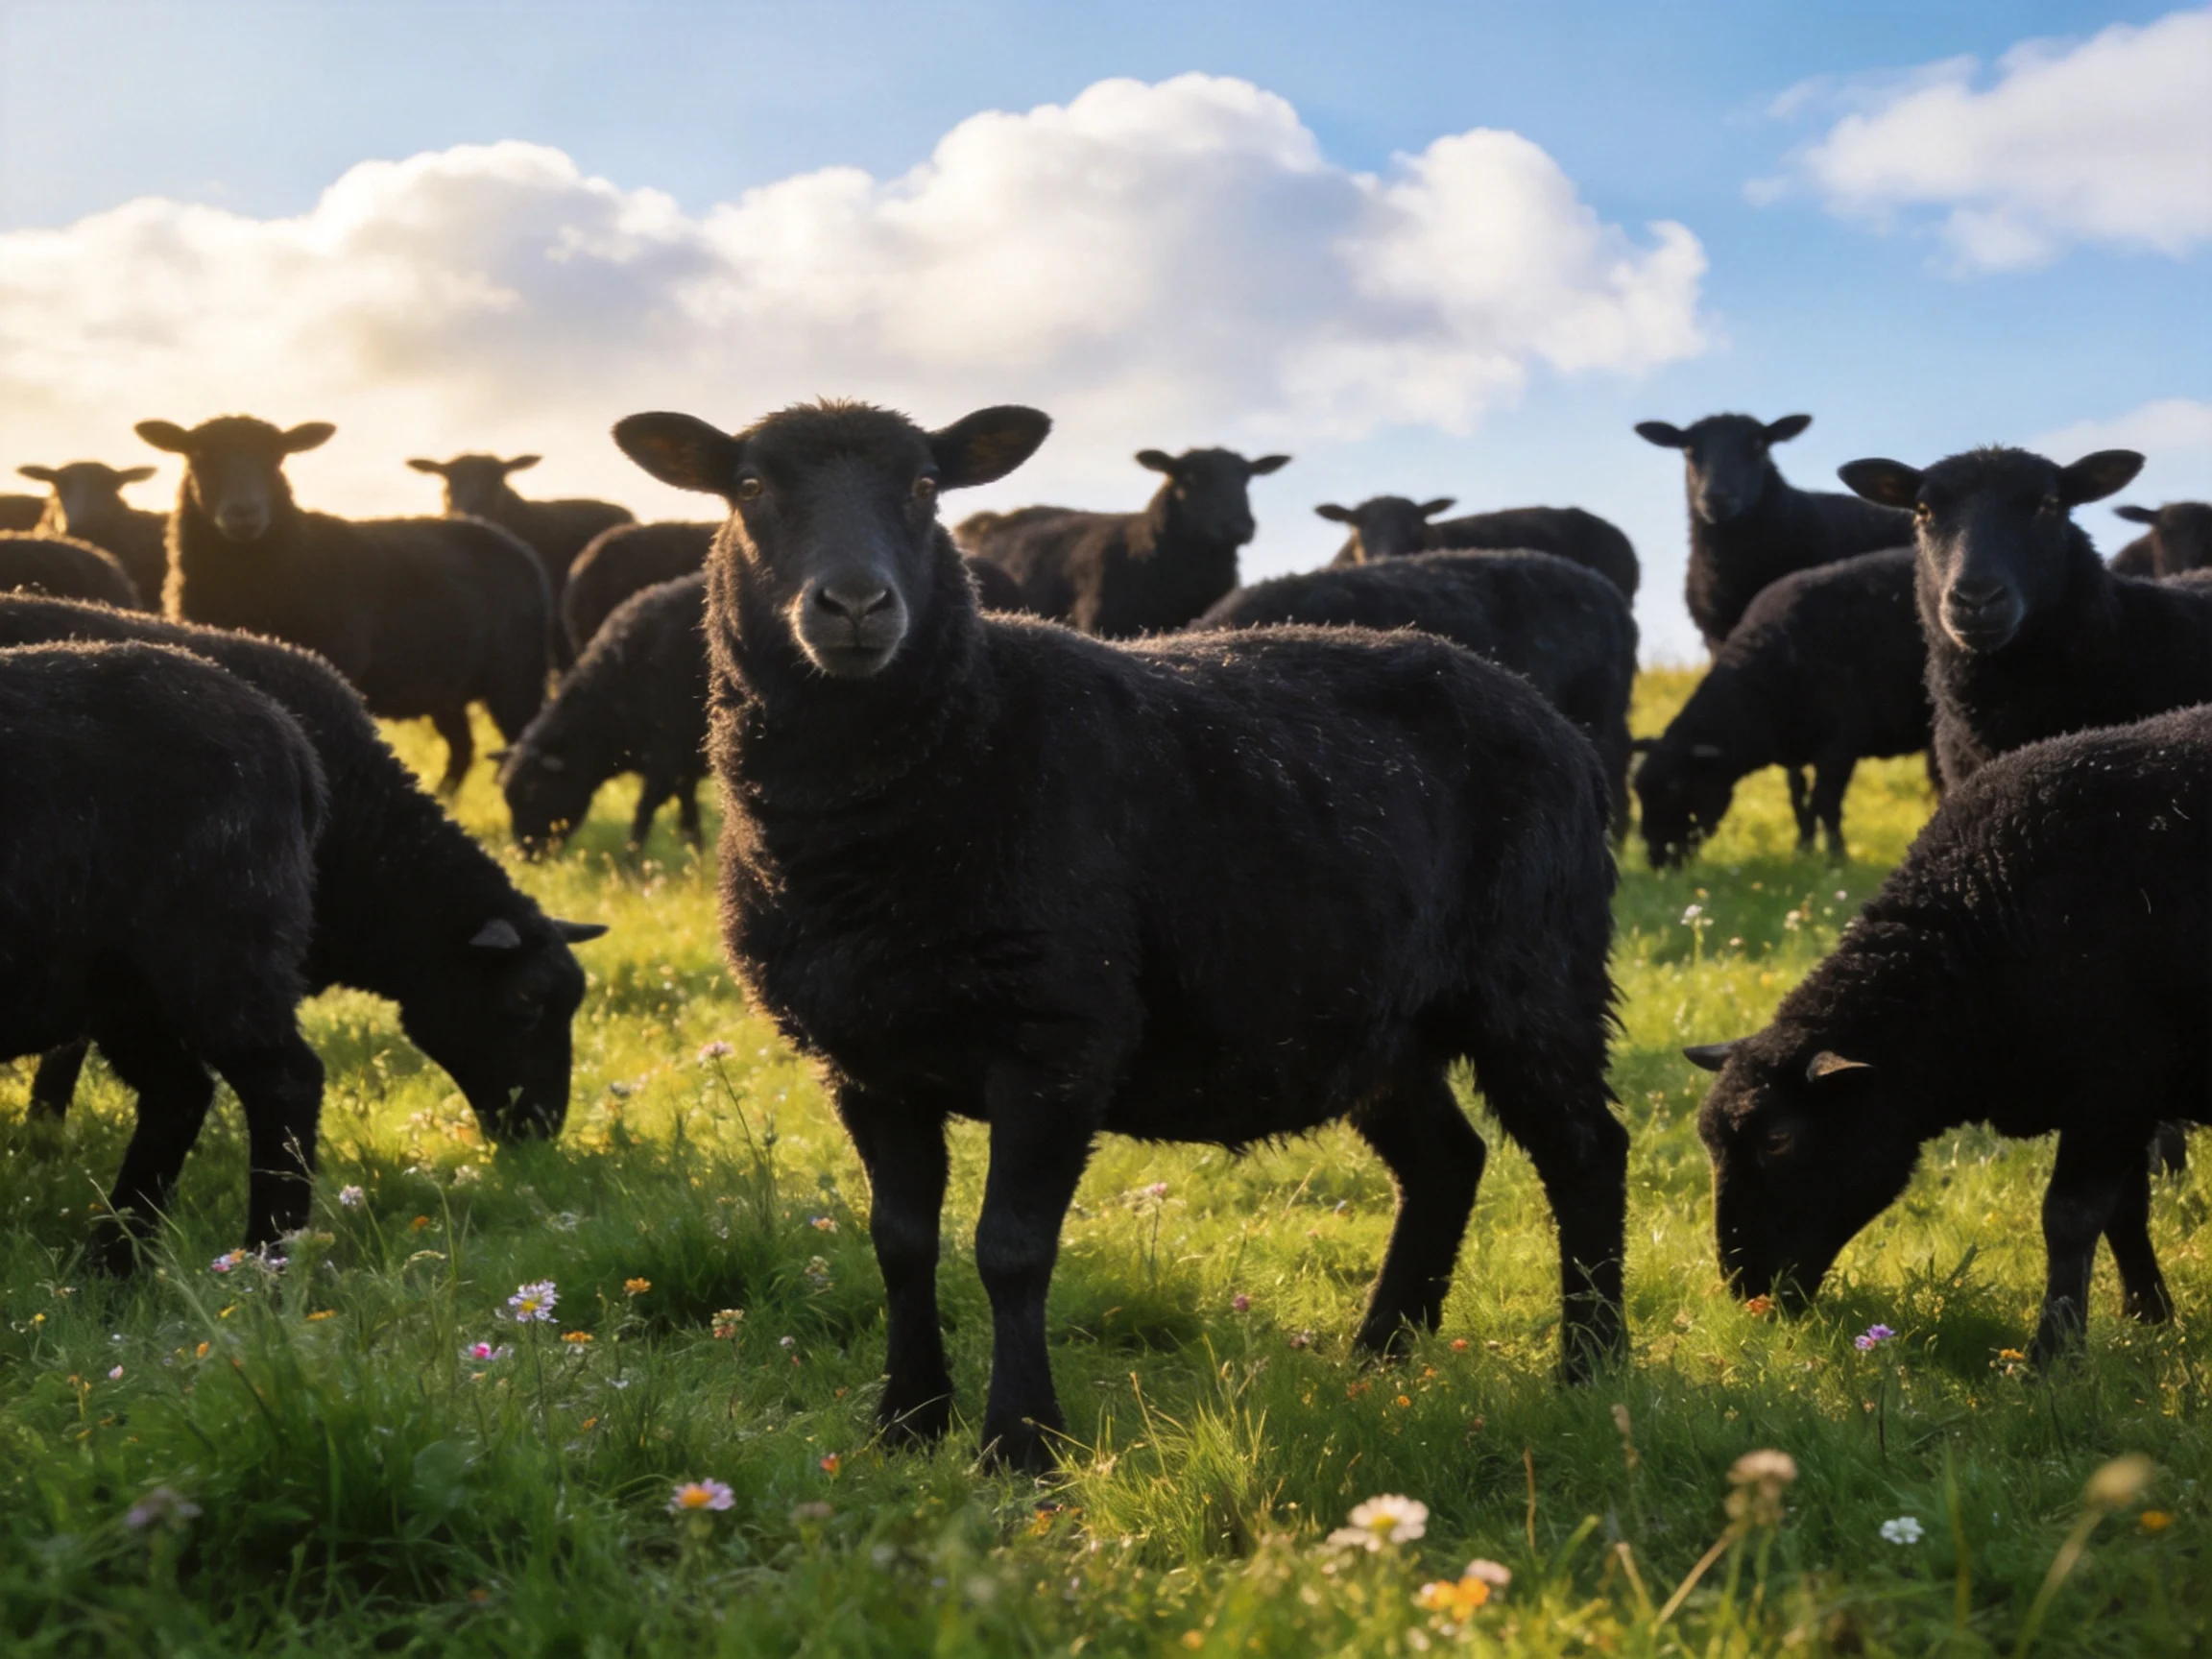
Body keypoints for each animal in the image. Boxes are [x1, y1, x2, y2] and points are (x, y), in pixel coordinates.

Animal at [1, 639, 326, 1268]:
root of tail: (291, 737)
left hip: (216, 941)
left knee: (285, 1083)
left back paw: (266, 1260)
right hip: (120, 983)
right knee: (179, 1092)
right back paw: (112, 1262)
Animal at [139, 416, 551, 793]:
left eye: (277, 459)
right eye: (198, 456)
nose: (244, 512)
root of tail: (508, 541)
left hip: (518, 673)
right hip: (446, 685)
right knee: (461, 749)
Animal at [503, 572, 709, 852]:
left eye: (533, 792)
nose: (524, 853)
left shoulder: (669, 757)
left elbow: (645, 809)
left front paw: (631, 858)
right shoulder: (681, 765)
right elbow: (687, 805)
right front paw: (695, 847)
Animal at [1635, 547, 1929, 867]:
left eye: (1676, 787)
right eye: (1639, 791)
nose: (1657, 860)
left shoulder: (1842, 742)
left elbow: (1826, 800)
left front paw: (1836, 857)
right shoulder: (1796, 747)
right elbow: (1799, 796)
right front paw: (1804, 849)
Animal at [1687, 703, 2212, 1362]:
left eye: (1778, 1140)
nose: (1744, 1287)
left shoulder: (2117, 1082)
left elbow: (2070, 1217)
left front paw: (2053, 1353)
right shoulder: (2118, 1097)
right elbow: (2125, 1212)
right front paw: (2149, 1316)